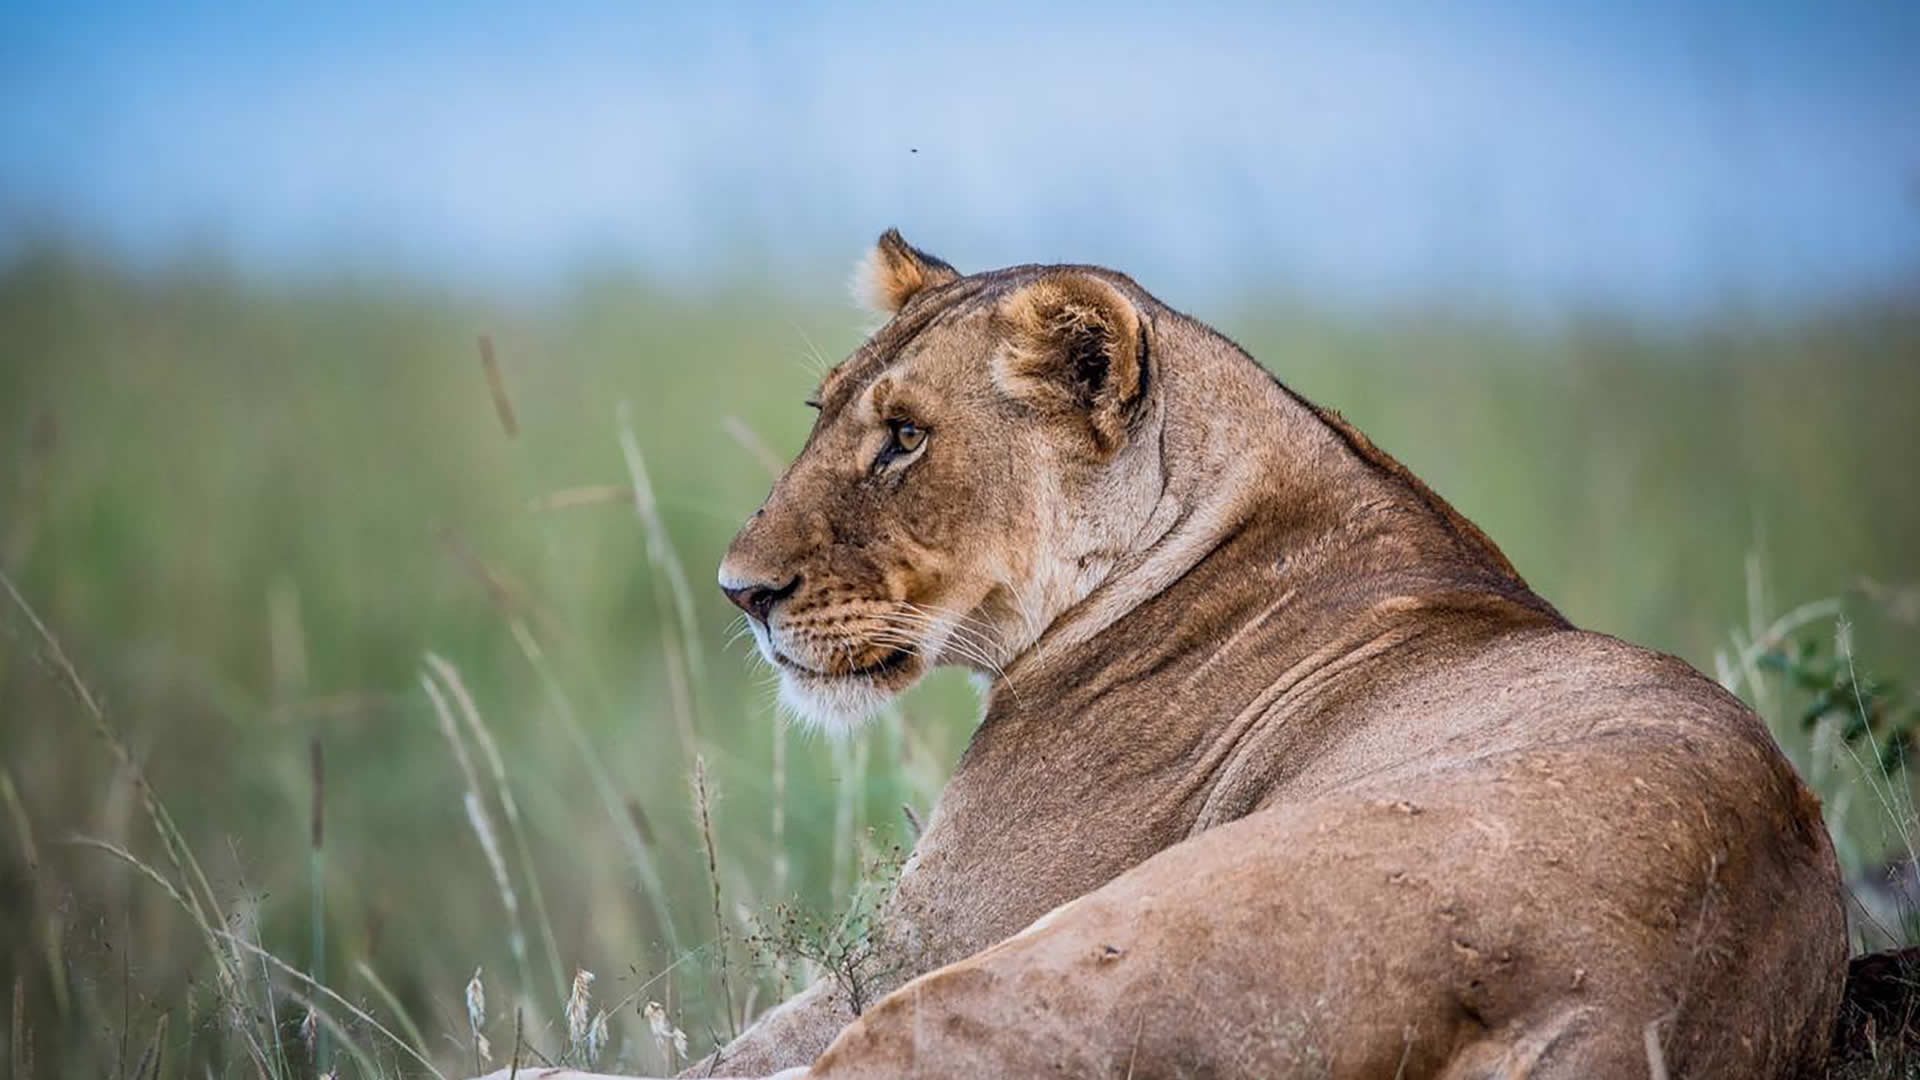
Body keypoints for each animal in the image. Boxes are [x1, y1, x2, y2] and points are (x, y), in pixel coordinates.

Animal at [488, 231, 1852, 1079]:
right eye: (823, 415)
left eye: (906, 439)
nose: (741, 592)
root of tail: (1620, 999)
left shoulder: (915, 945)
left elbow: (713, 1053)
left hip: (1056, 957)